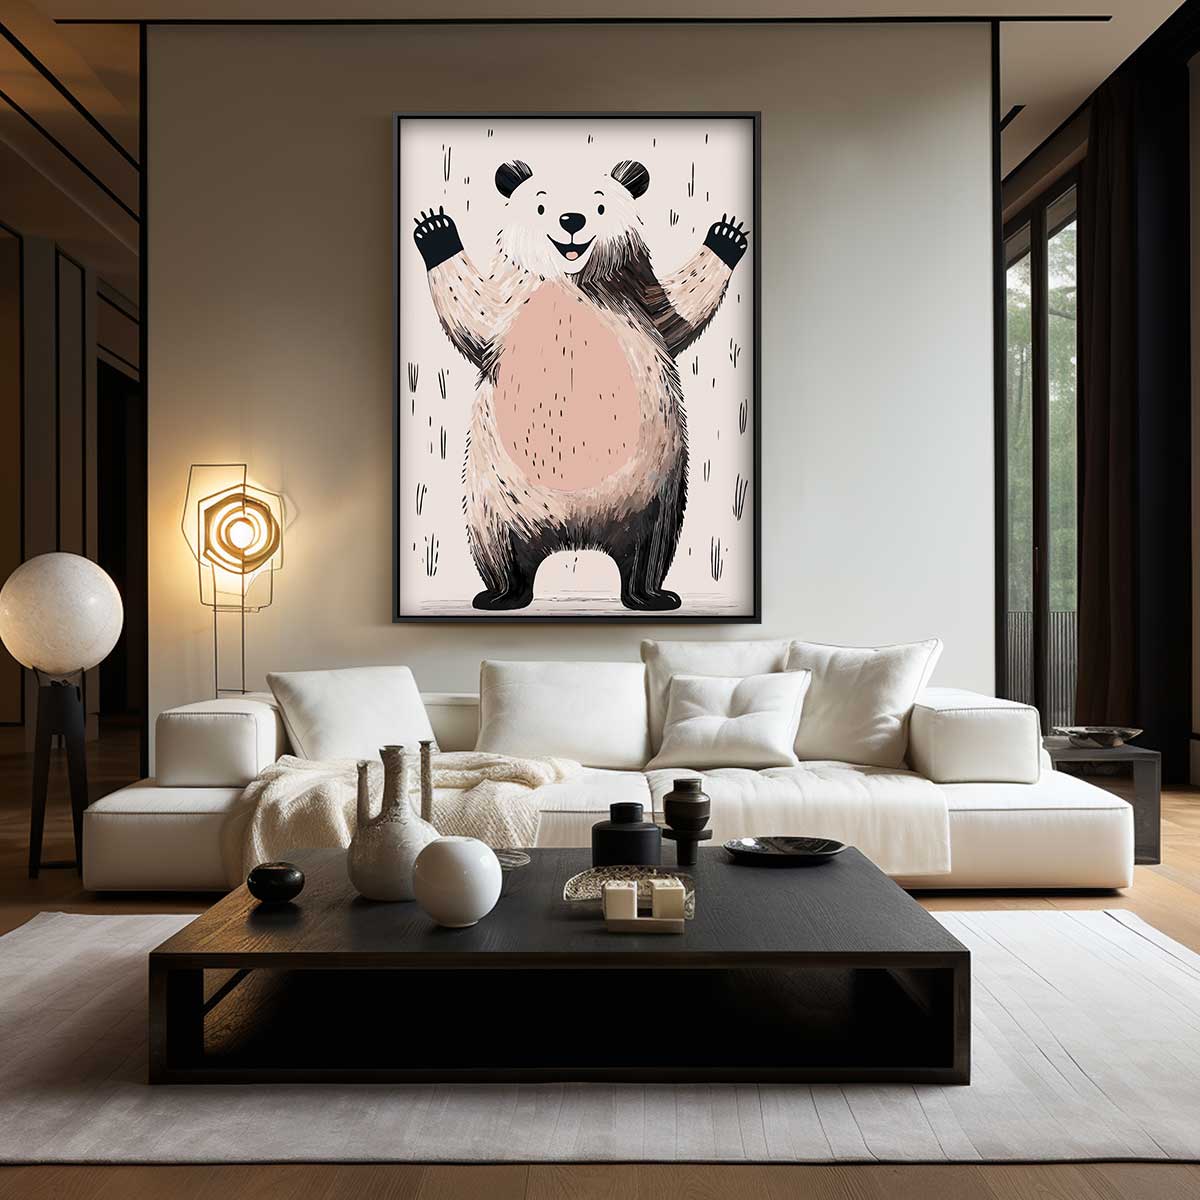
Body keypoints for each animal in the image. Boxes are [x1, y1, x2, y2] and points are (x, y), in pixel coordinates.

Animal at [412, 157, 748, 611]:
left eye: (600, 206)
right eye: (541, 207)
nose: (572, 220)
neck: (572, 280)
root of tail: (576, 532)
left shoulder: (632, 295)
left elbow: (674, 312)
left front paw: (726, 236)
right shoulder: (512, 307)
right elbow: (476, 312)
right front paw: (436, 229)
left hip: (655, 494)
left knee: (651, 550)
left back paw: (649, 594)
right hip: (493, 497)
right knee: (496, 547)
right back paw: (502, 593)